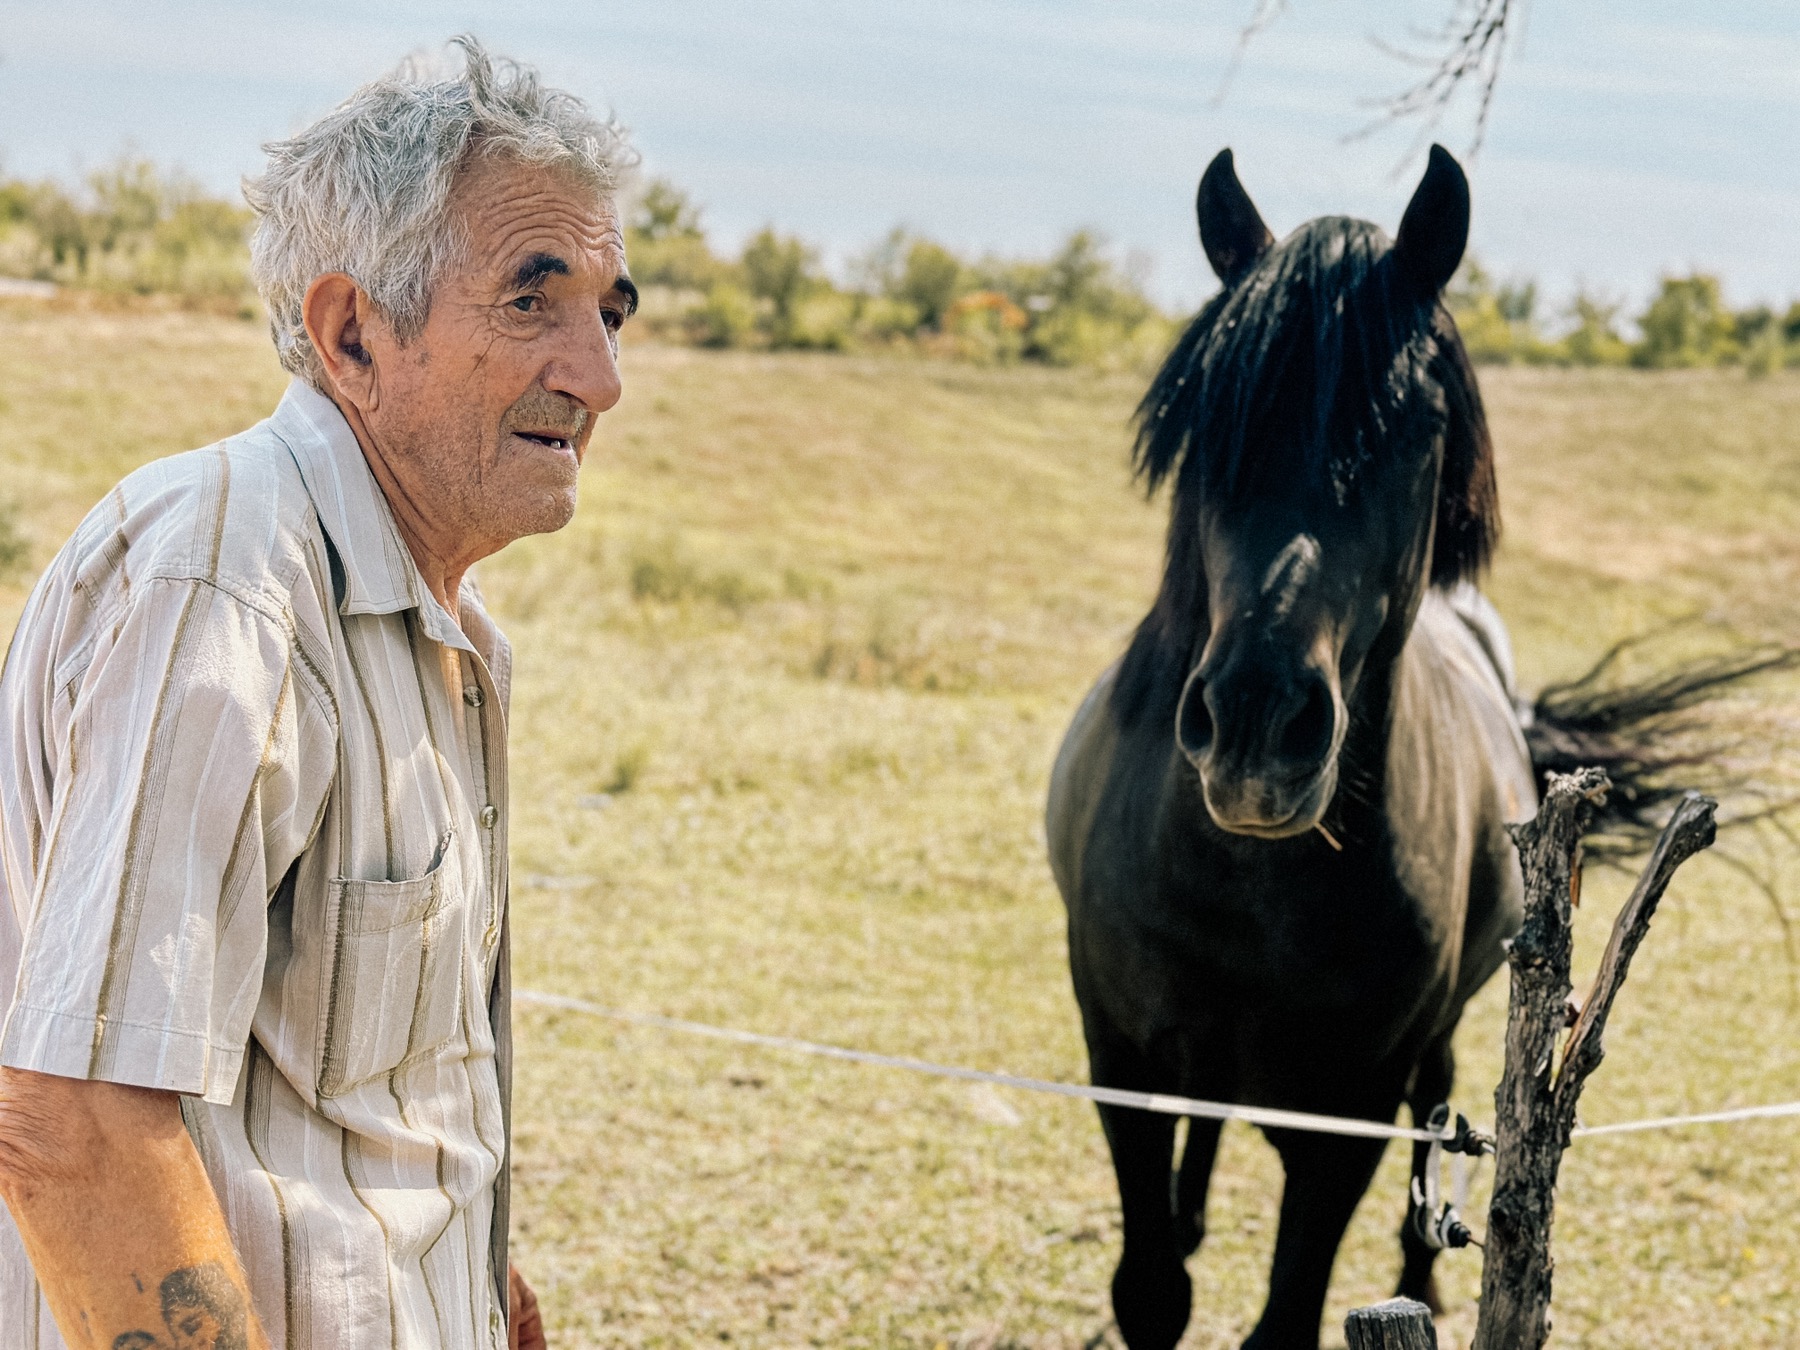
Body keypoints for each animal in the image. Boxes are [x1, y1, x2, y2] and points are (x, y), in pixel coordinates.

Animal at [1044, 147, 1771, 1350]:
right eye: (1210, 429)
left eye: (1413, 430)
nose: (1257, 727)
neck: (1243, 886)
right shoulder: (1126, 1067)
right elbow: (1153, 1287)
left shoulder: (1346, 1118)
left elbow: (1289, 1311)